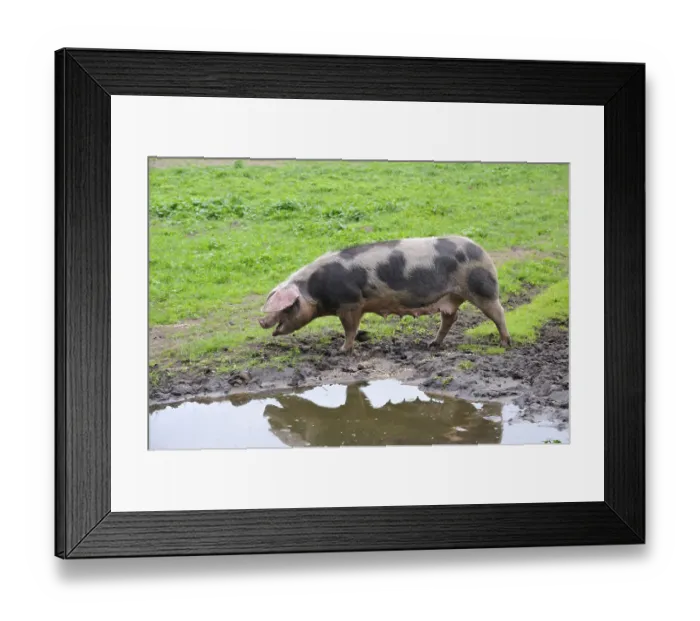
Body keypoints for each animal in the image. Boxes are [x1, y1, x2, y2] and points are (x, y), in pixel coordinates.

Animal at [258, 235, 511, 352]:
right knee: (450, 318)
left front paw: (342, 350)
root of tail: (481, 250)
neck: (313, 289)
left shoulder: (350, 303)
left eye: (286, 306)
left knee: (499, 312)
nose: (261, 321)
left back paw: (504, 344)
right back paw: (432, 344)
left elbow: (350, 329)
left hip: (483, 288)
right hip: (451, 297)